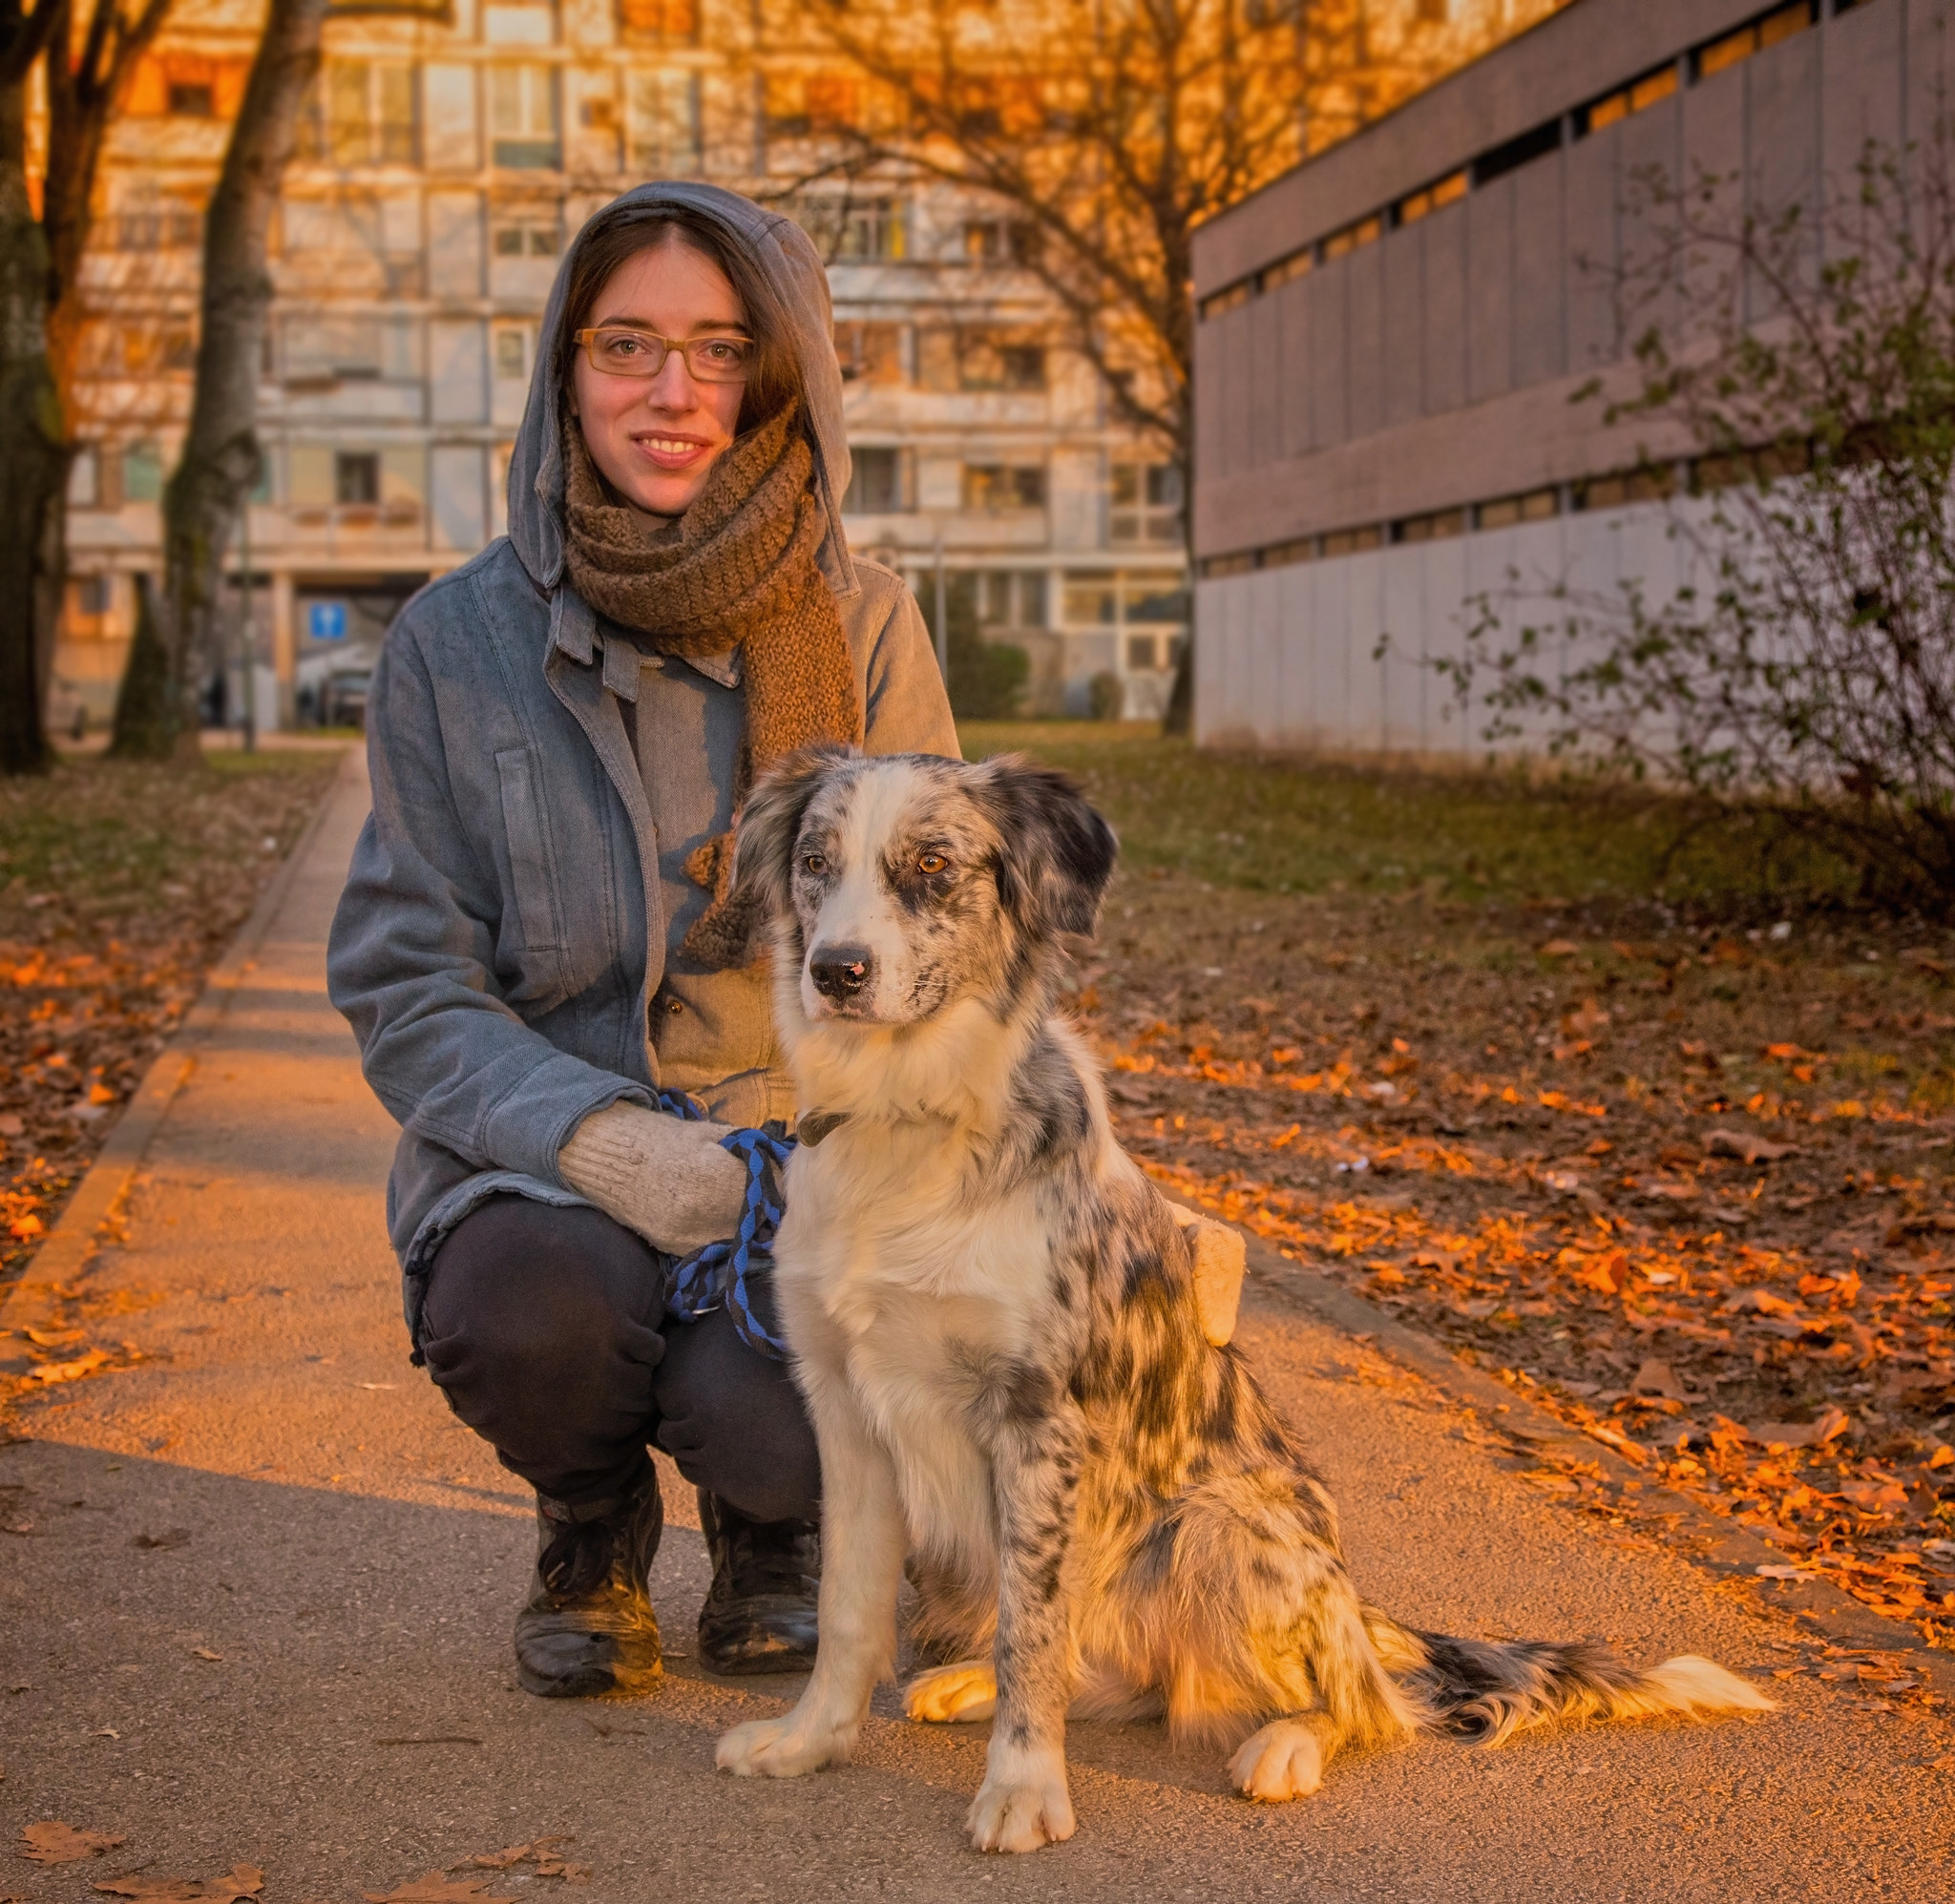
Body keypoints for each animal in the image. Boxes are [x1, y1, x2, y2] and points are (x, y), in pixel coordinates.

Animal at [715, 754, 1775, 1852]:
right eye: (814, 862)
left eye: (931, 864)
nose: (835, 971)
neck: (905, 1118)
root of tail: (1361, 1612)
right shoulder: (848, 1412)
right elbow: (850, 1609)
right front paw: (809, 1742)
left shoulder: (1039, 1421)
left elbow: (1033, 1630)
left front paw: (1023, 1787)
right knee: (1116, 1673)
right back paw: (967, 1682)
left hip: (1218, 1523)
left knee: (1365, 1706)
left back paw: (1287, 1742)